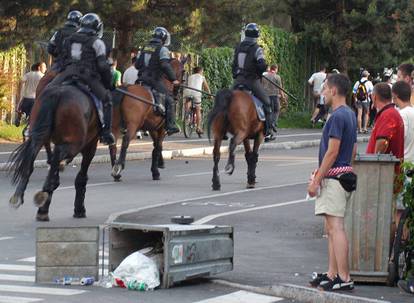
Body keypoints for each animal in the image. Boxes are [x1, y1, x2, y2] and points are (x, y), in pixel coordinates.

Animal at [8, 83, 100, 221]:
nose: (17, 121)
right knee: (58, 154)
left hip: (42, 136)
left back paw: (21, 194)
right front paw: (79, 209)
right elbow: (81, 176)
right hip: (74, 142)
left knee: (33, 157)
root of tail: (58, 94)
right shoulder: (90, 143)